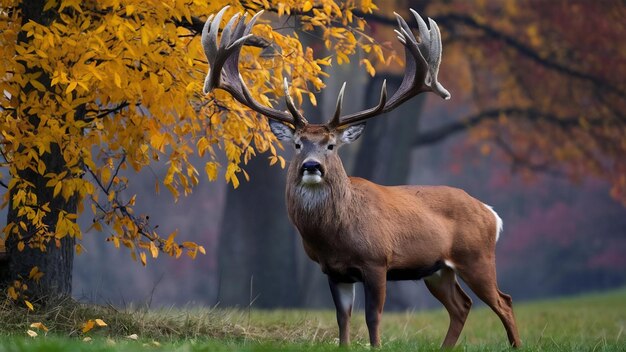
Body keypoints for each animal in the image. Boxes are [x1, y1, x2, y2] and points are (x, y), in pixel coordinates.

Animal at [200, 5, 516, 350]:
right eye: (297, 144)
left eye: (331, 145)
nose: (311, 166)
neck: (334, 235)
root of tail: (492, 214)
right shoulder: (334, 271)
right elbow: (343, 318)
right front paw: (344, 345)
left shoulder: (377, 260)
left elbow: (373, 317)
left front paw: (375, 345)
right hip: (437, 269)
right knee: (462, 305)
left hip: (476, 256)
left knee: (504, 301)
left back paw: (515, 343)